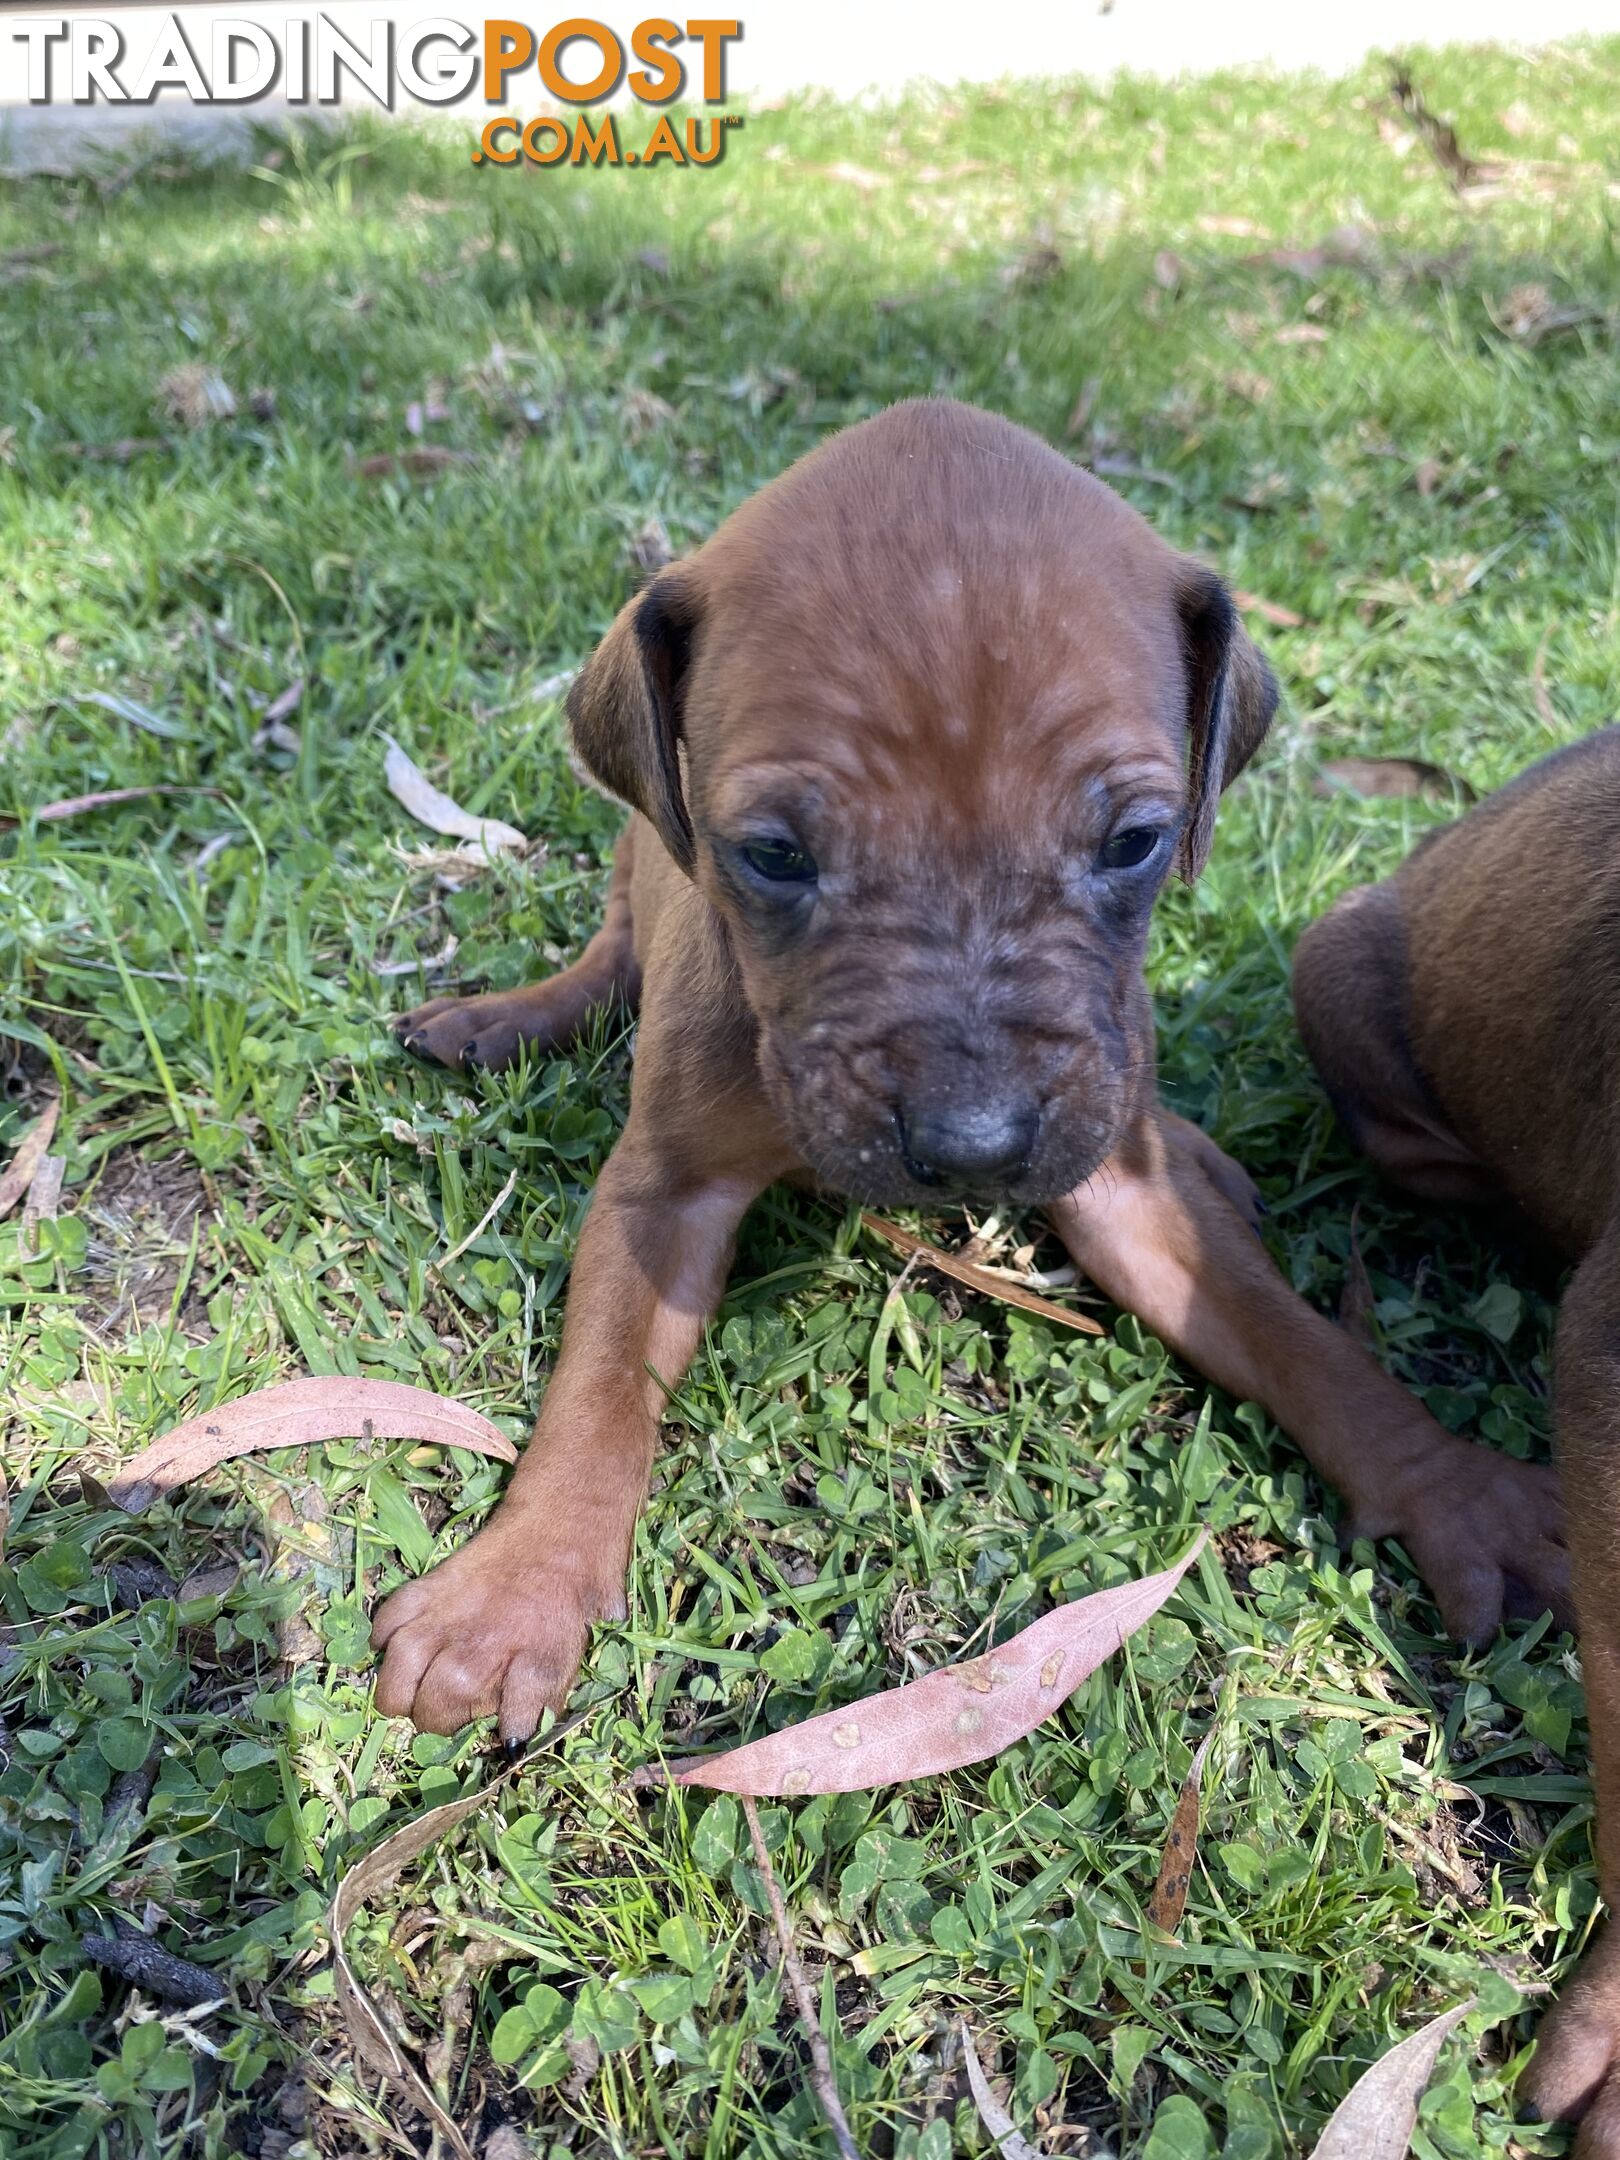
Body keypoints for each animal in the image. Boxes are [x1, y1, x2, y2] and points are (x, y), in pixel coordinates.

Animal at [371, 401, 1572, 1753]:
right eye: (771, 856)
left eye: (1136, 842)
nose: (974, 1148)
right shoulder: (660, 1189)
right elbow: (600, 1389)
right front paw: (515, 1591)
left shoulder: (1125, 1189)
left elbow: (1303, 1342)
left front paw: (1455, 1488)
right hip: (638, 855)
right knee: (614, 937)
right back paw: (509, 1018)